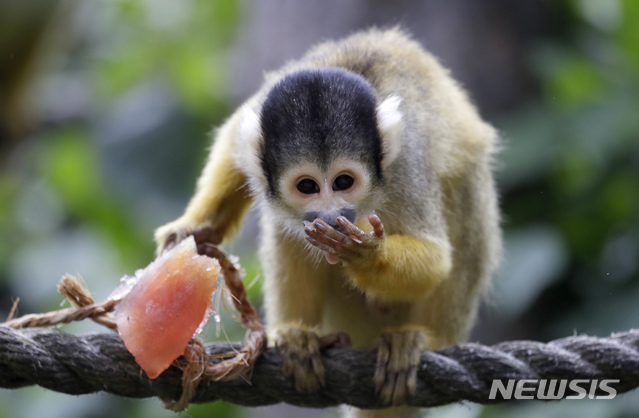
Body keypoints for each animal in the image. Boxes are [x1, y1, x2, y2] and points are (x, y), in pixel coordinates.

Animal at [154, 27, 500, 416]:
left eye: (343, 182)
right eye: (308, 186)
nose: (332, 214)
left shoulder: (407, 166)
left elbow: (437, 258)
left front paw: (364, 253)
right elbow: (232, 140)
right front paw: (200, 226)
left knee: (467, 193)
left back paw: (423, 340)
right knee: (288, 233)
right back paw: (297, 336)